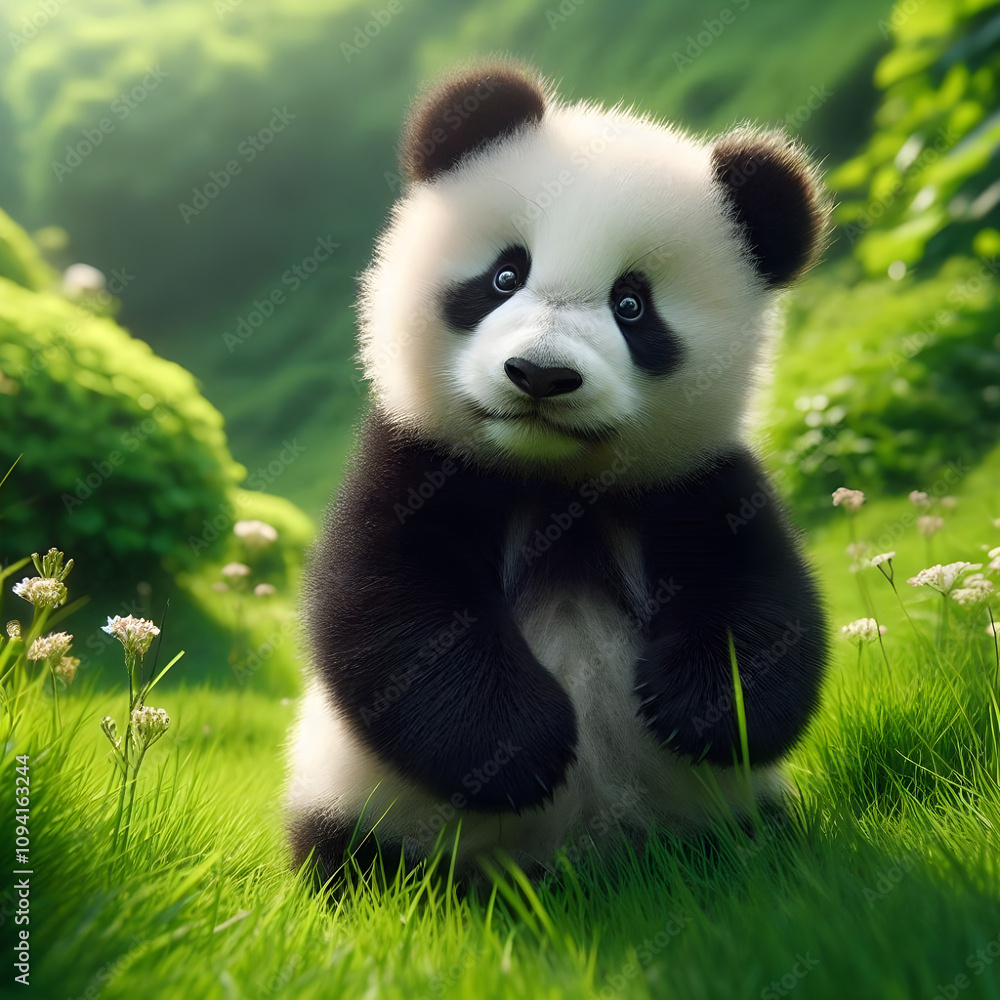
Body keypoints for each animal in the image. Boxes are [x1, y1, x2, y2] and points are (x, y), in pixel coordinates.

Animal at [286, 60, 829, 879]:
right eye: (505, 276)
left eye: (632, 305)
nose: (540, 374)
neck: (554, 480)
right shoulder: (417, 458)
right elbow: (388, 611)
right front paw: (521, 749)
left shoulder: (699, 479)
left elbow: (767, 609)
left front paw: (696, 707)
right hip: (361, 801)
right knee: (349, 854)